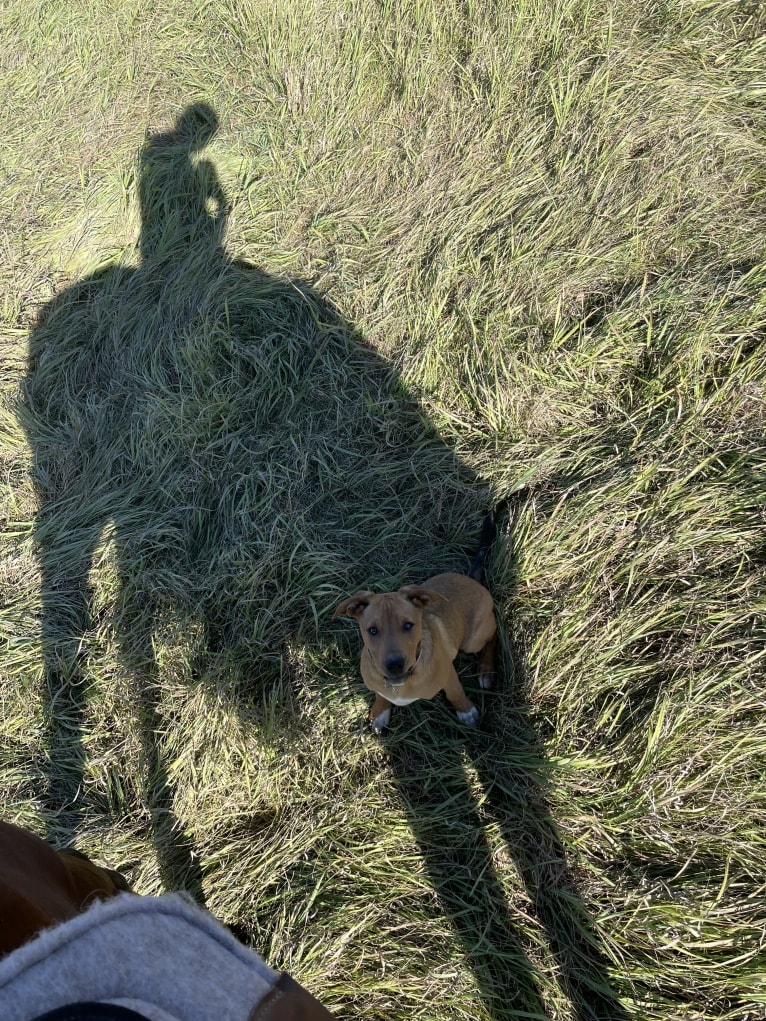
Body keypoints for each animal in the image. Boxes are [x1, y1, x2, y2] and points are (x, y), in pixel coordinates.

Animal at [332, 510, 500, 735]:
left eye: (408, 625)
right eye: (372, 630)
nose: (394, 665)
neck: (400, 685)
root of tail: (471, 579)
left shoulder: (449, 673)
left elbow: (455, 692)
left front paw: (466, 711)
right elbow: (380, 694)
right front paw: (379, 711)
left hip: (472, 640)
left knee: (493, 635)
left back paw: (486, 669)